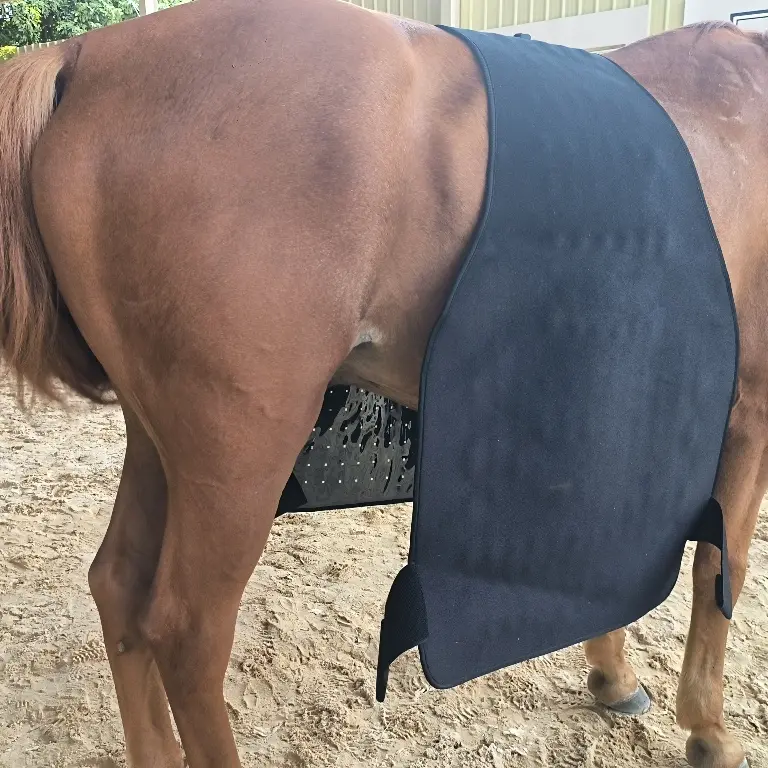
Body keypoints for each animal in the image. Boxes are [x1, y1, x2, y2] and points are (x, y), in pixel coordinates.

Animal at [0, 1, 764, 766]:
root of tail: (85, 57)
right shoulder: (750, 411)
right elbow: (717, 566)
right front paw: (707, 728)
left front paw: (613, 677)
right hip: (238, 453)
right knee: (187, 634)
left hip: (162, 440)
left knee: (118, 585)